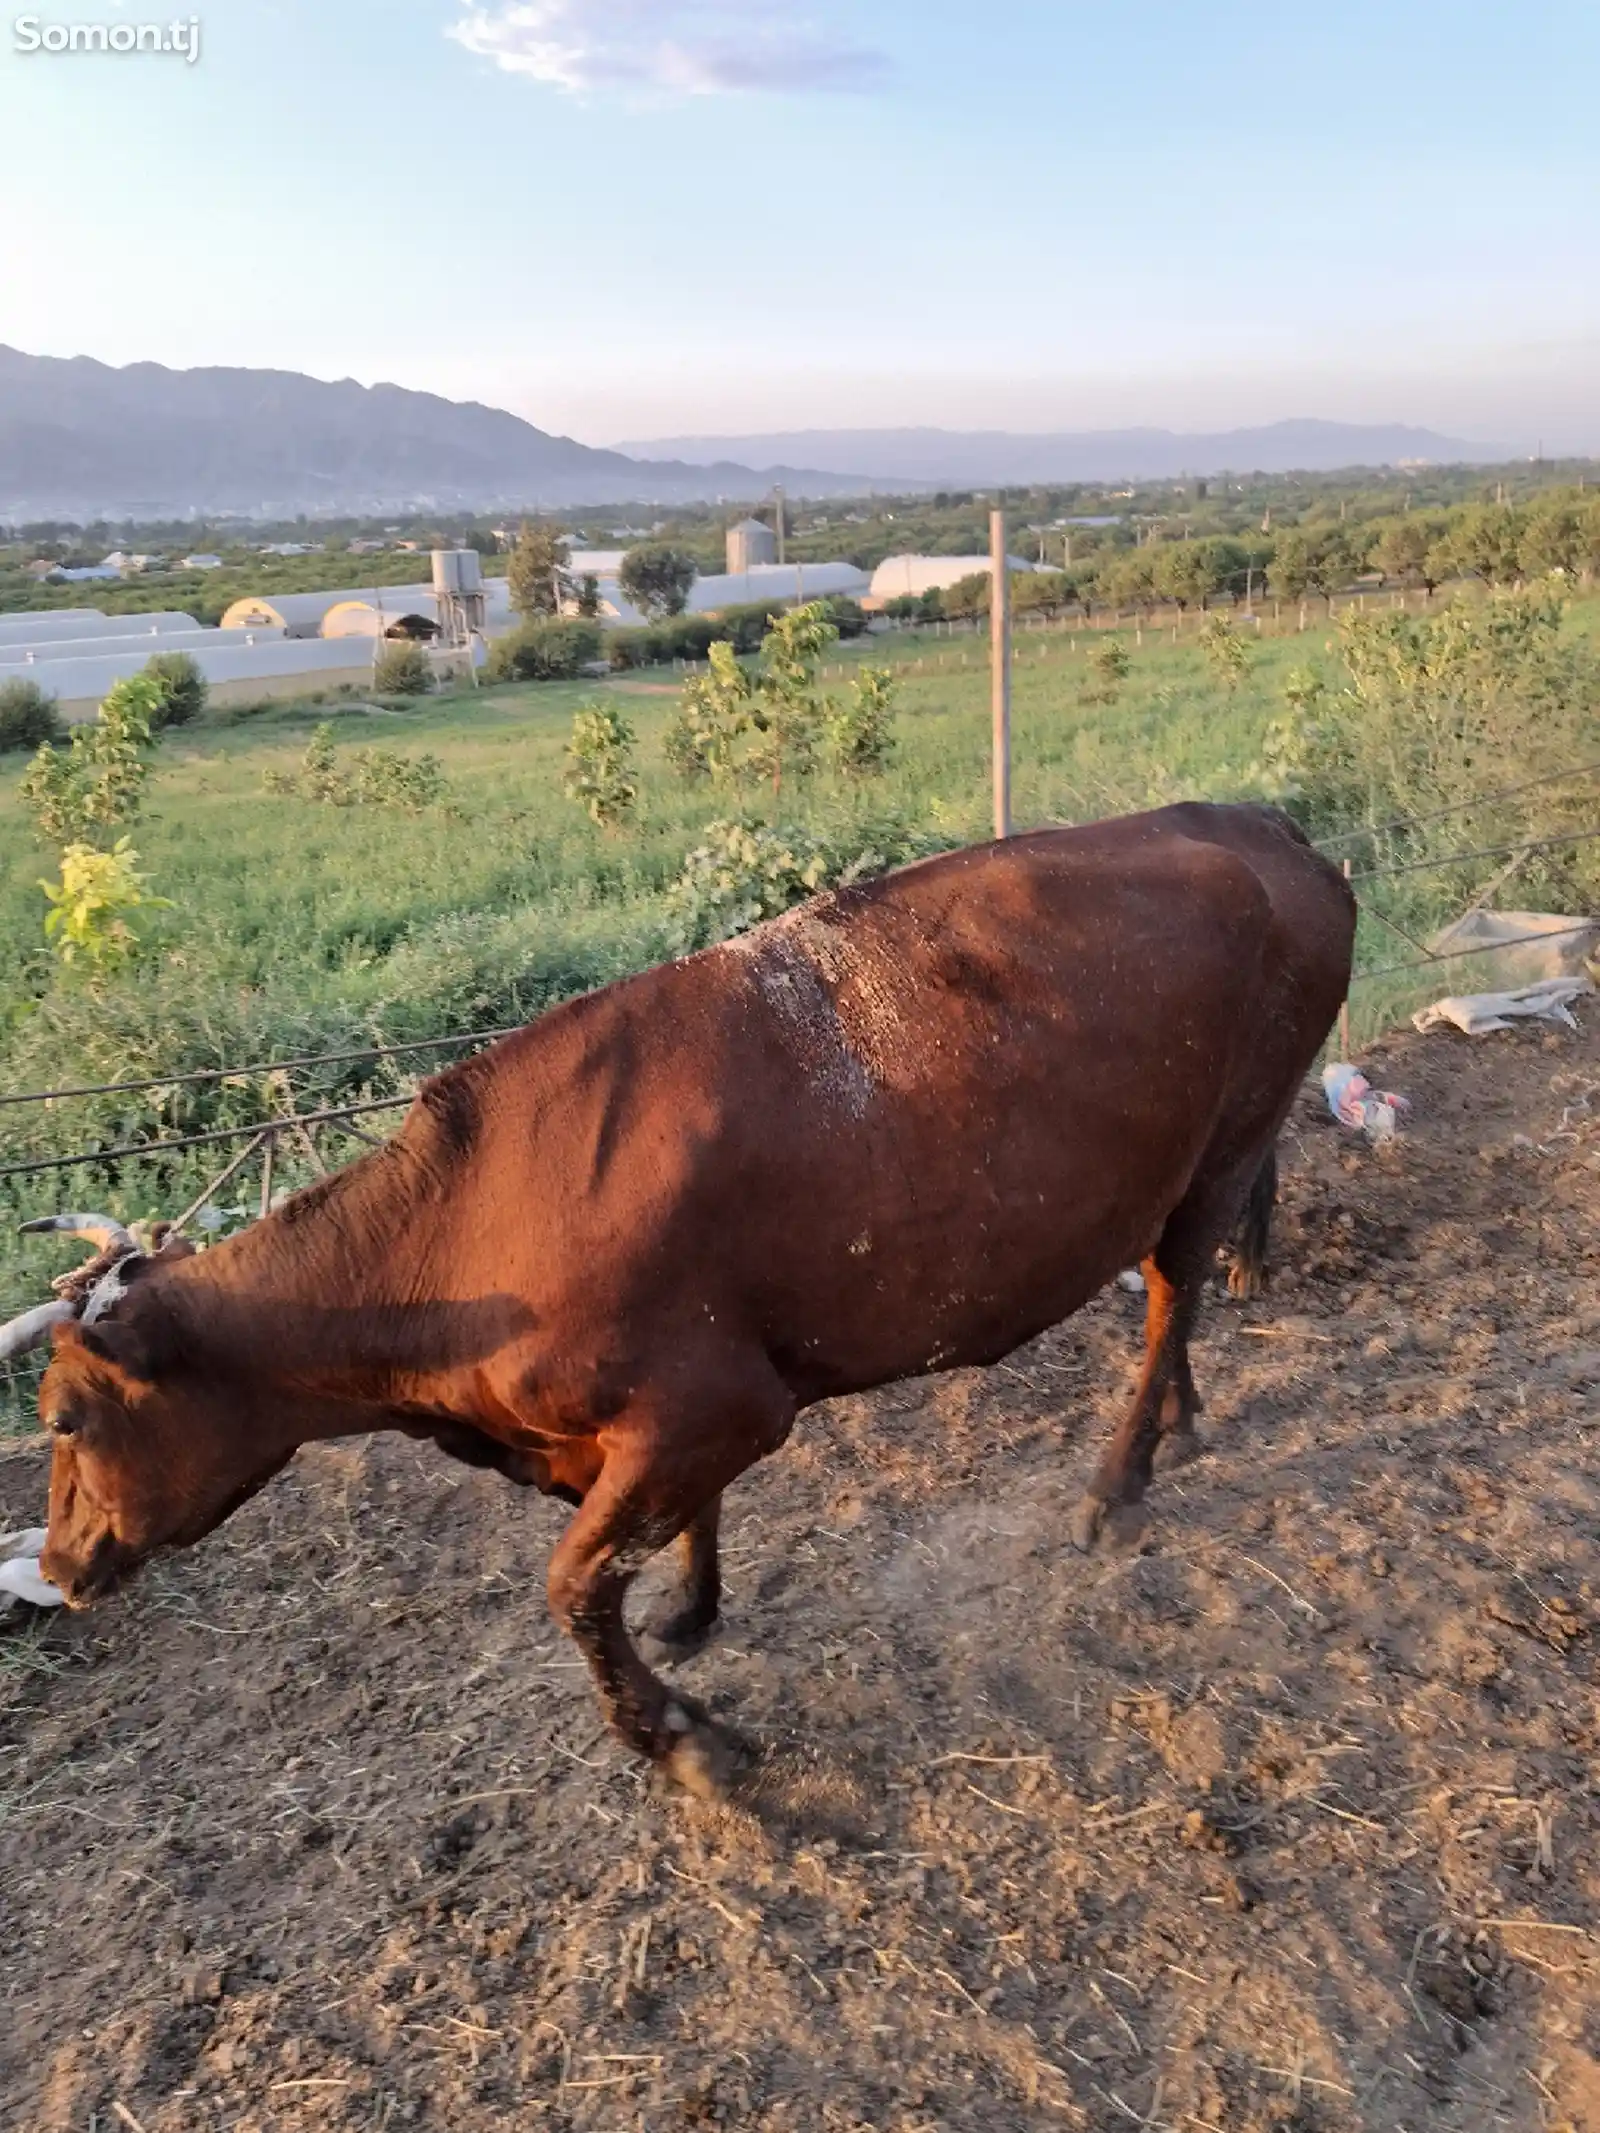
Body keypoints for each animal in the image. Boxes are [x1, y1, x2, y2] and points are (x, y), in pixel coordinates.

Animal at [9, 806, 1356, 1791]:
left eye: (67, 1417)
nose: (62, 1565)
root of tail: (1253, 825)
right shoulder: (657, 1421)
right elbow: (662, 1539)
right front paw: (693, 1610)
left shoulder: (720, 1406)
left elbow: (573, 1584)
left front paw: (683, 1741)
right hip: (1196, 1161)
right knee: (1179, 1295)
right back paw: (1181, 1421)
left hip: (1226, 1142)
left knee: (1173, 1295)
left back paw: (1117, 1485)